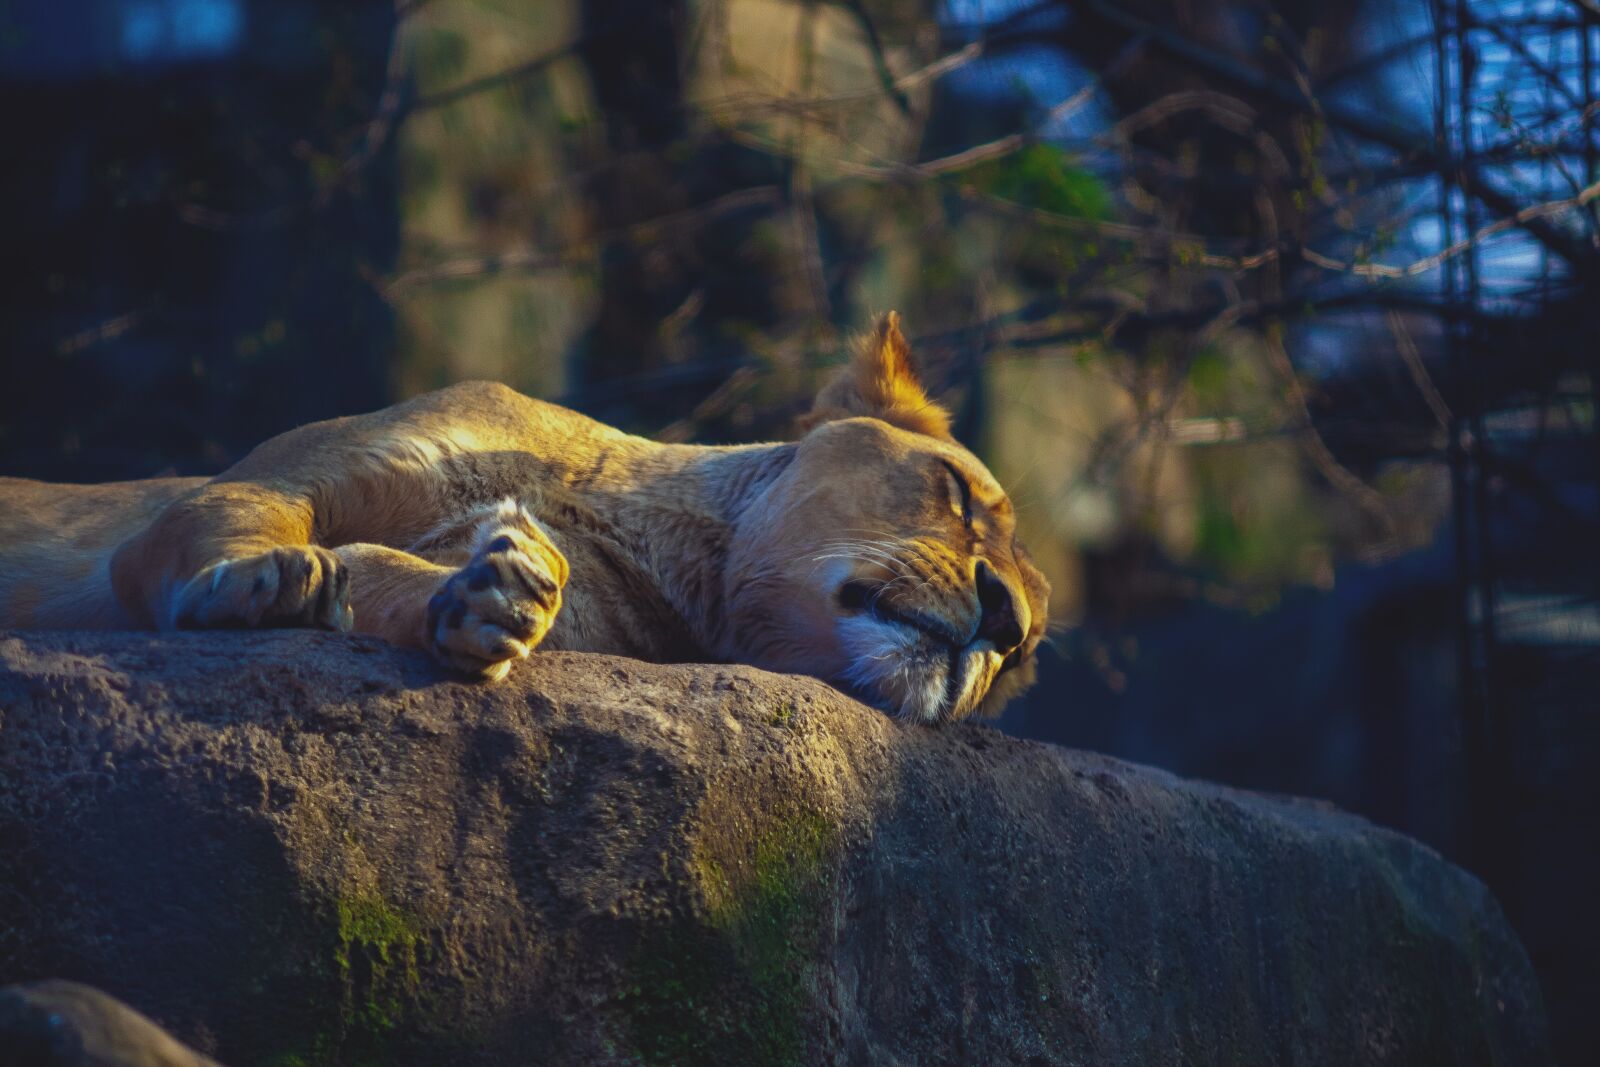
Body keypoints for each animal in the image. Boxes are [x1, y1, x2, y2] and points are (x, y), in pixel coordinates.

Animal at [0, 314, 1048, 722]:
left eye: (1026, 658)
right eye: (956, 491)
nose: (1006, 622)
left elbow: (386, 576)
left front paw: (496, 600)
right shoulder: (279, 482)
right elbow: (228, 511)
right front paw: (263, 579)